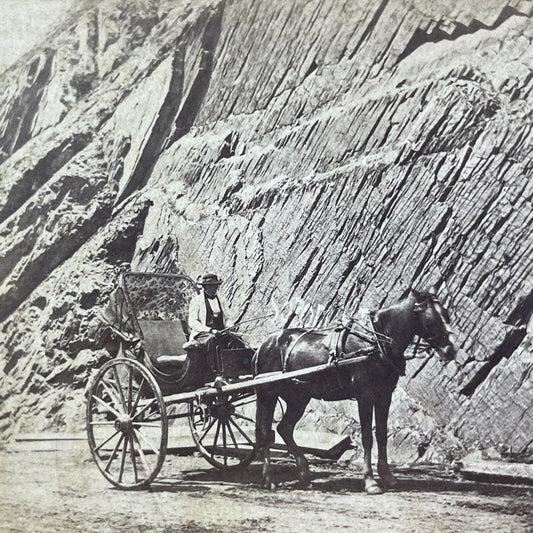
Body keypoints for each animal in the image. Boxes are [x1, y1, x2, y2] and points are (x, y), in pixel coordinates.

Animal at [251, 288, 456, 492]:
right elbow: (367, 437)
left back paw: (304, 472)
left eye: (446, 315)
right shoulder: (364, 395)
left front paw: (387, 476)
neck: (376, 342)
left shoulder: (384, 395)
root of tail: (263, 345)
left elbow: (381, 435)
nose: (450, 350)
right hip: (268, 394)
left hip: (298, 397)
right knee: (266, 433)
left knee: (284, 428)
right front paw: (370, 481)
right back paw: (269, 478)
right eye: (430, 320)